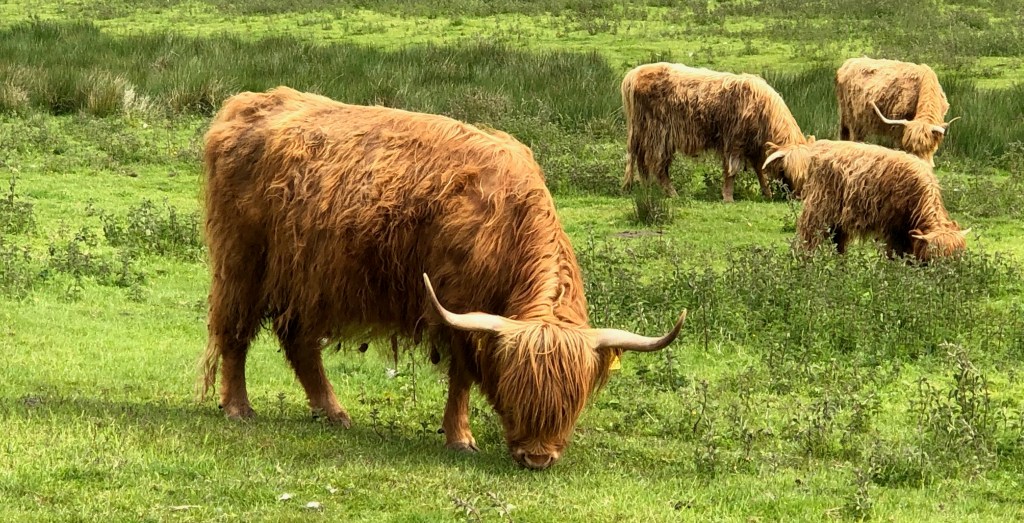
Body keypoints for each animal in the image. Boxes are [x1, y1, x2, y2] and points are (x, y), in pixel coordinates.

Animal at [198, 87, 687, 470]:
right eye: (516, 392)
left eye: (571, 401)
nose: (536, 458)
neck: (508, 223)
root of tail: (245, 104)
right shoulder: (459, 307)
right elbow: (463, 376)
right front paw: (460, 438)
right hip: (242, 265)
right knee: (234, 332)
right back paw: (238, 407)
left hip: (309, 280)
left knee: (298, 341)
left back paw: (333, 412)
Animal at [620, 62, 807, 202]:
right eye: (785, 170)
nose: (798, 197)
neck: (763, 110)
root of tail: (635, 73)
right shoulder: (734, 141)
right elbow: (732, 170)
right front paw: (728, 197)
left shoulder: (754, 147)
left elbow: (760, 169)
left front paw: (767, 193)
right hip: (659, 133)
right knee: (656, 164)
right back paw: (673, 194)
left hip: (641, 131)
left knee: (640, 160)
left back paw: (646, 188)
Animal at [762, 139, 968, 261]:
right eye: (934, 259)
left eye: (956, 258)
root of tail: (821, 146)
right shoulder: (892, 228)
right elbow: (894, 253)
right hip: (818, 211)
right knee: (809, 238)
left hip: (838, 221)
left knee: (839, 244)